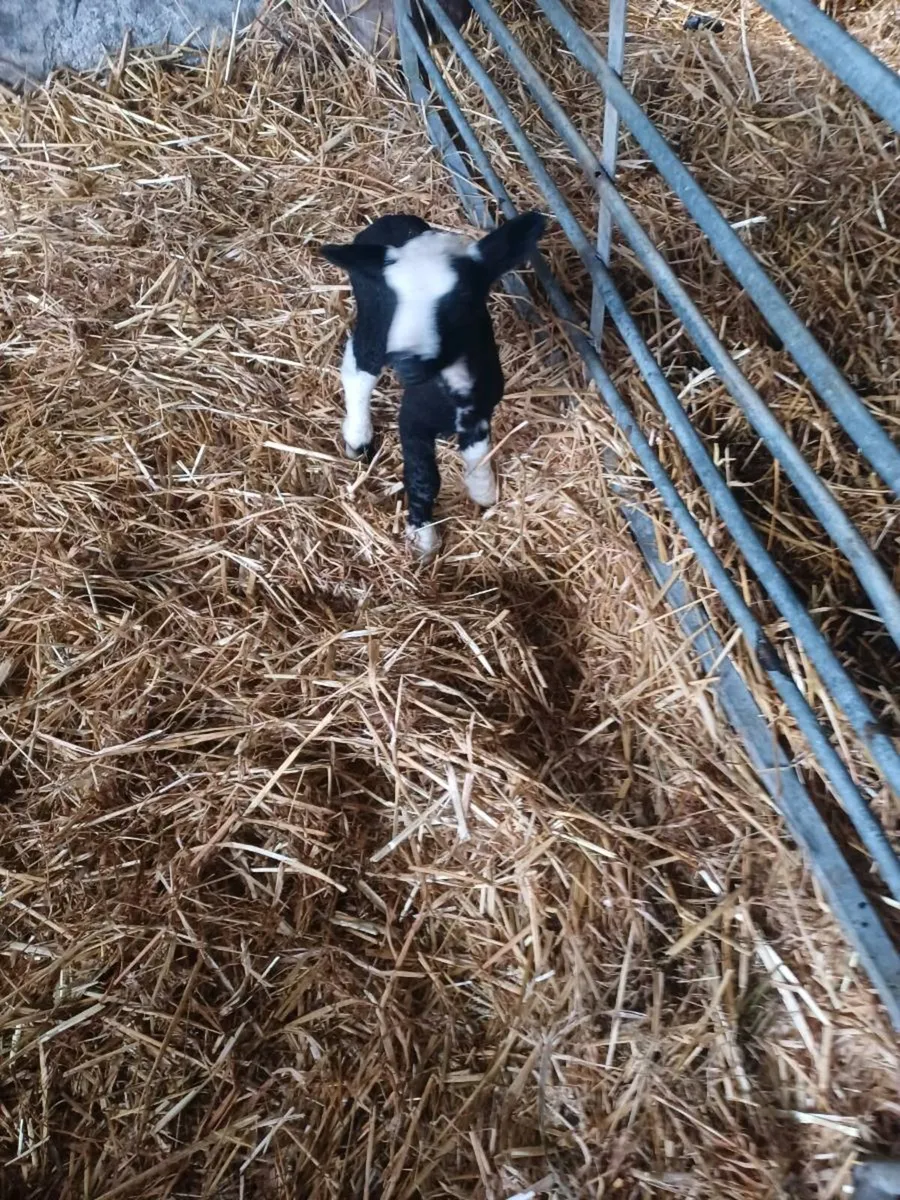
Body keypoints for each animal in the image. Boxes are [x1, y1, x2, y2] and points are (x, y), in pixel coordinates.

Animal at [321, 211, 546, 558]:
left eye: (462, 297)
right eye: (394, 297)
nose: (407, 361)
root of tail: (389, 220)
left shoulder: (480, 411)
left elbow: (478, 454)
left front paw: (484, 492)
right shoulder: (412, 421)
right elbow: (424, 476)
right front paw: (423, 536)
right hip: (374, 324)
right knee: (359, 369)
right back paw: (358, 438)